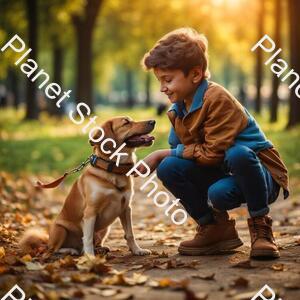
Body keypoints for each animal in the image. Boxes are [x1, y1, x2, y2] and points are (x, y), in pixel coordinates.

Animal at [19, 116, 156, 256]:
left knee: (93, 242)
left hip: (105, 229)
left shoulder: (126, 209)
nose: (153, 121)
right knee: (54, 250)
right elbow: (88, 237)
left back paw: (99, 249)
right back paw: (71, 250)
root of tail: (46, 242)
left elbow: (130, 234)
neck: (112, 171)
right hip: (60, 229)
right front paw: (90, 257)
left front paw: (137, 250)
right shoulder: (91, 212)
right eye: (126, 122)